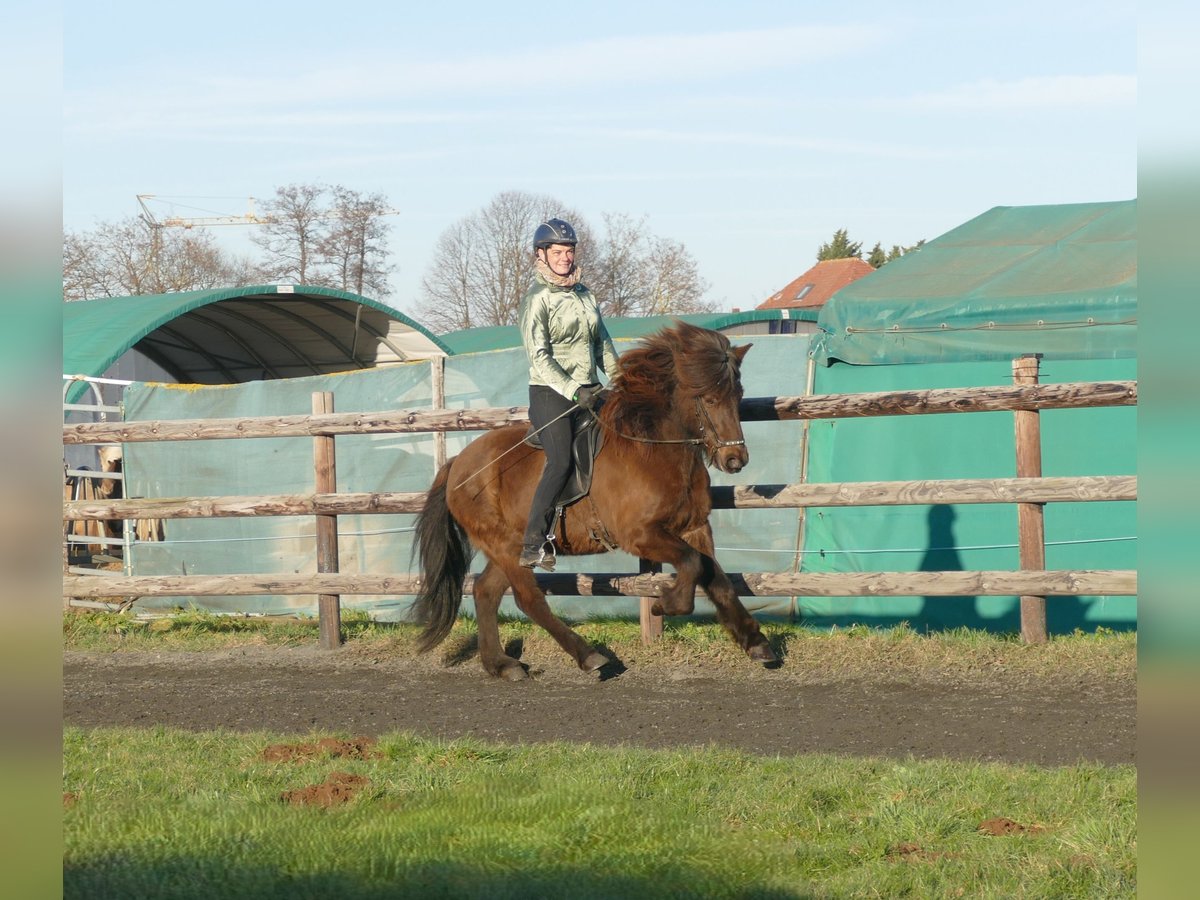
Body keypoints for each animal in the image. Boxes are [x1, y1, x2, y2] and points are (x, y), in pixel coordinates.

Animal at [408, 321, 772, 681]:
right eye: (708, 399)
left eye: (738, 395)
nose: (735, 460)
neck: (653, 448)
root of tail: (457, 463)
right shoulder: (640, 535)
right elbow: (692, 563)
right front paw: (665, 604)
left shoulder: (694, 527)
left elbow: (715, 577)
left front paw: (756, 642)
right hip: (502, 544)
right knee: (528, 599)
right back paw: (588, 656)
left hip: (508, 548)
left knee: (485, 590)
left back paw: (501, 664)